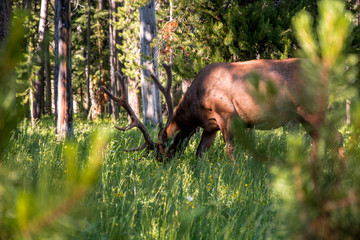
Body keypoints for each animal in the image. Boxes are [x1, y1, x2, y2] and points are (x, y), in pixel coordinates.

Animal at [100, 59, 344, 161]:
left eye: (162, 146)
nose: (159, 162)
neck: (197, 101)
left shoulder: (226, 114)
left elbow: (230, 149)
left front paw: (233, 173)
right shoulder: (210, 126)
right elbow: (200, 153)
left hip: (310, 109)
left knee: (337, 136)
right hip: (304, 116)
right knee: (323, 139)